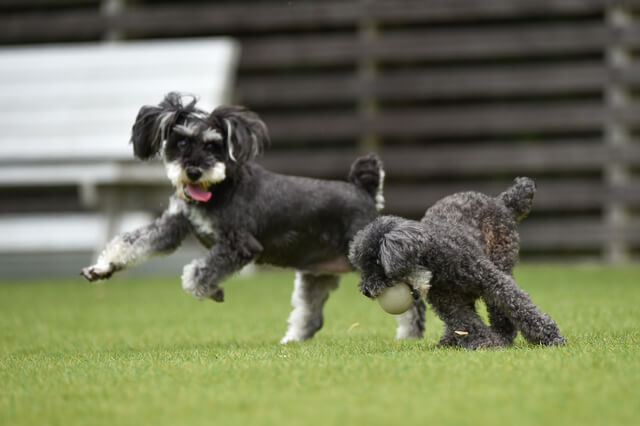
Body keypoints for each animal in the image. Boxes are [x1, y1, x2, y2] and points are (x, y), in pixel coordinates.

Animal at [80, 92, 420, 342]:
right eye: (181, 142)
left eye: (213, 145)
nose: (194, 171)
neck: (218, 189)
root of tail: (364, 190)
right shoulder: (172, 226)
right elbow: (132, 242)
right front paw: (100, 268)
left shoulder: (239, 245)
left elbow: (194, 274)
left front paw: (212, 290)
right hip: (315, 273)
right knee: (310, 314)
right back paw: (292, 340)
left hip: (372, 261)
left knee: (410, 300)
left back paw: (410, 335)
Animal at [350, 178, 564, 348]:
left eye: (376, 262)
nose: (366, 290)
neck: (435, 262)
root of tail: (499, 201)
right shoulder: (449, 304)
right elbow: (467, 323)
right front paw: (487, 342)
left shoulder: (492, 282)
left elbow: (518, 304)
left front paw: (550, 336)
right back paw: (452, 340)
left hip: (501, 261)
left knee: (499, 308)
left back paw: (503, 334)